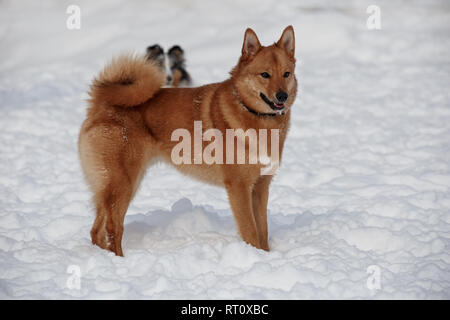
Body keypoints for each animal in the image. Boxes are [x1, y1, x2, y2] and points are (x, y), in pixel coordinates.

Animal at [79, 26, 298, 256]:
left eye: (286, 74)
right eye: (265, 74)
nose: (282, 96)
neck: (254, 115)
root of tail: (101, 104)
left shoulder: (260, 187)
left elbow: (263, 231)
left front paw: (265, 255)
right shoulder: (239, 187)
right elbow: (251, 231)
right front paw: (253, 255)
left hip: (120, 185)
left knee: (96, 230)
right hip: (123, 184)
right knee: (113, 227)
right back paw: (119, 259)